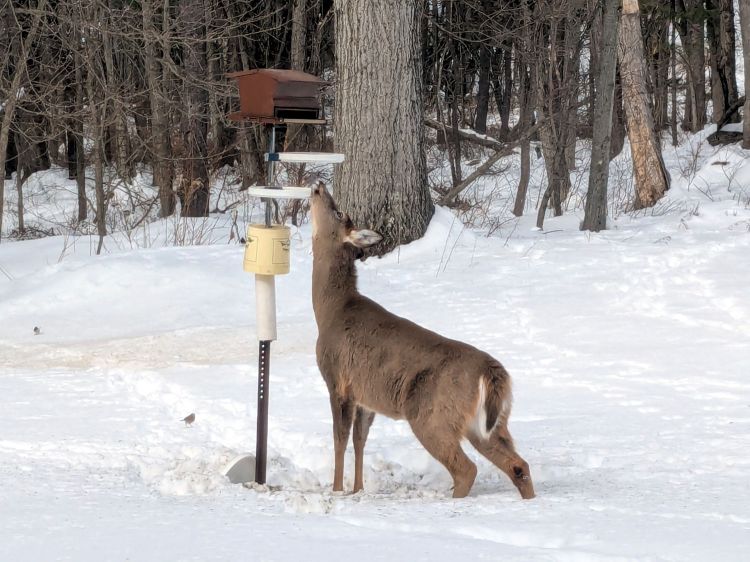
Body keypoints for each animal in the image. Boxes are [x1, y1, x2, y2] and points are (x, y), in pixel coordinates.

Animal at [310, 182, 535, 499]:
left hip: (430, 415)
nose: (318, 185)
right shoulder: (366, 396)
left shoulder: (337, 380)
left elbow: (339, 439)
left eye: (339, 212)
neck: (331, 310)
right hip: (488, 423)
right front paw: (358, 489)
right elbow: (359, 440)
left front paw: (338, 490)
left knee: (467, 468)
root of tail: (492, 370)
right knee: (518, 464)